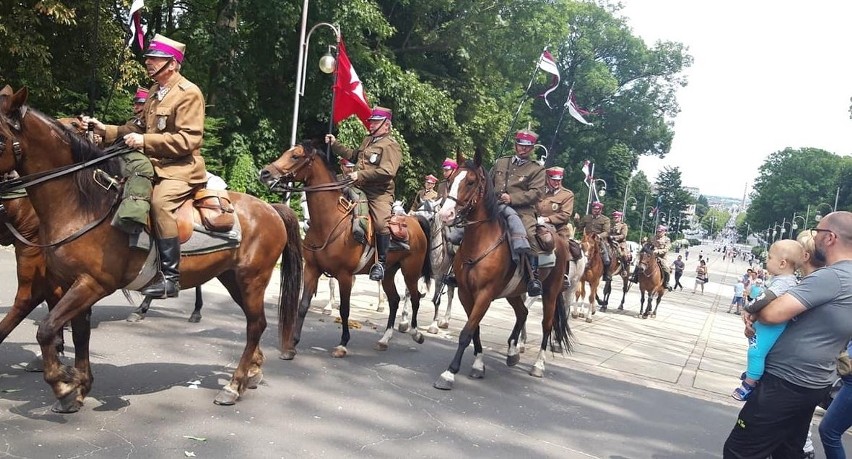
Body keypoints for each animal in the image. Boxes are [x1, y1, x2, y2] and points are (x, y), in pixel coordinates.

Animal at [0, 87, 304, 414]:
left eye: (1, 139)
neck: (82, 203)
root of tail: (271, 209)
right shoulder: (72, 283)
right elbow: (79, 334)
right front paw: (78, 388)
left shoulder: (92, 284)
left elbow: (45, 329)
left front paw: (63, 385)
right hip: (232, 279)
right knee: (254, 324)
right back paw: (251, 374)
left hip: (252, 279)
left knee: (255, 326)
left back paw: (234, 386)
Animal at [258, 144, 432, 360]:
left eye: (295, 156)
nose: (264, 173)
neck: (329, 222)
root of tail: (415, 221)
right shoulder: (312, 269)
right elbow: (303, 305)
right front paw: (291, 345)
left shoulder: (345, 276)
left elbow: (344, 310)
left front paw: (342, 344)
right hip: (390, 273)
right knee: (394, 300)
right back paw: (384, 339)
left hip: (411, 271)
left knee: (415, 296)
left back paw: (416, 333)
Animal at [432, 149, 572, 390]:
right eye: (451, 180)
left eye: (470, 182)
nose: (446, 214)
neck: (480, 242)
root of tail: (560, 241)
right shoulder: (465, 293)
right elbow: (475, 330)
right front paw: (478, 365)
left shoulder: (485, 295)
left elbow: (467, 332)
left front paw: (449, 373)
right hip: (514, 292)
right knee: (523, 312)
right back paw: (512, 352)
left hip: (551, 293)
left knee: (546, 325)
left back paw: (538, 365)